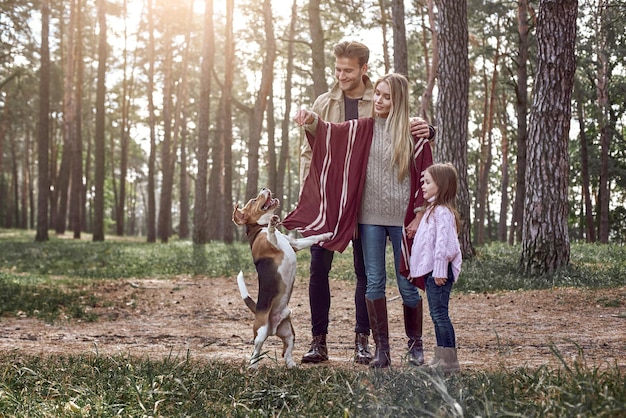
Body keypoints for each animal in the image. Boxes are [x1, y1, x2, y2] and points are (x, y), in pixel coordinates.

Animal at [233, 188, 332, 368]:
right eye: (254, 200)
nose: (264, 188)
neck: (259, 227)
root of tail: (273, 328)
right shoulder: (270, 244)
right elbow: (271, 233)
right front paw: (272, 224)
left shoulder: (296, 244)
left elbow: (312, 238)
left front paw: (327, 235)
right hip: (261, 331)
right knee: (256, 349)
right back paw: (253, 365)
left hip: (289, 332)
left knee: (286, 350)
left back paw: (291, 364)